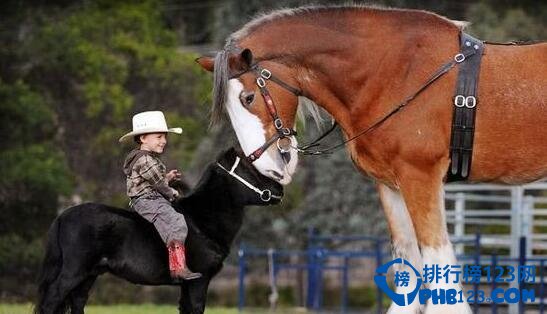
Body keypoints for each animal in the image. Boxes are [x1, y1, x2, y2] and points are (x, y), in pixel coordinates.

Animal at [35, 148, 282, 314]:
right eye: (249, 170)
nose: (279, 189)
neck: (201, 221)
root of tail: (63, 216)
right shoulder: (199, 281)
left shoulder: (187, 285)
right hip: (74, 272)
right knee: (50, 301)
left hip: (89, 275)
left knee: (77, 302)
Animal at [197, 5, 547, 314]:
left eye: (248, 97)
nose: (267, 166)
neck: (394, 73)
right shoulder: (391, 185)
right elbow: (408, 268)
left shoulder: (420, 177)